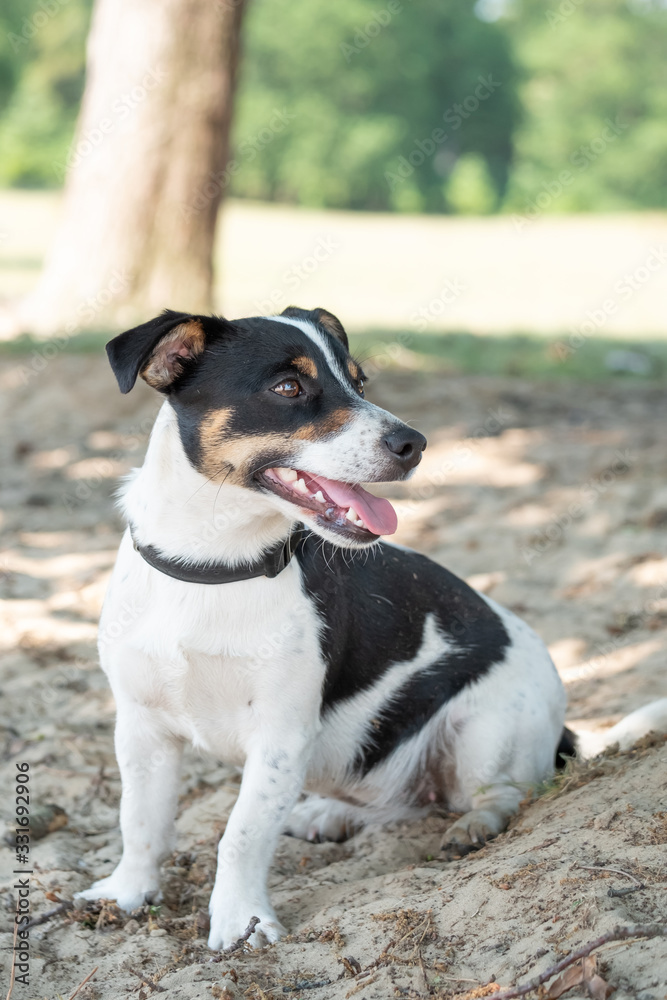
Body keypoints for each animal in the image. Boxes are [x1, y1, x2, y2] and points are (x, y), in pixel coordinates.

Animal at [75, 308, 664, 948]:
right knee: (399, 804)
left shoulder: (280, 739)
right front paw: (128, 893)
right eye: (288, 387)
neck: (214, 569)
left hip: (485, 730)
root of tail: (563, 731)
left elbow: (241, 835)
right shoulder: (142, 728)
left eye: (360, 382)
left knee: (501, 794)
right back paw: (329, 813)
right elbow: (141, 823)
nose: (414, 443)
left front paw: (241, 921)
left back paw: (475, 825)